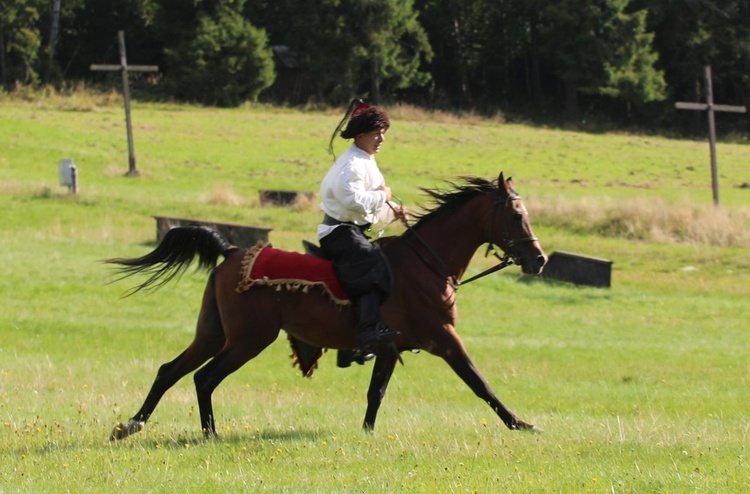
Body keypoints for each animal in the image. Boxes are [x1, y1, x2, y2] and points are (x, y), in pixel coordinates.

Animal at [108, 172, 548, 438]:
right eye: (516, 215)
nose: (539, 259)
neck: (425, 263)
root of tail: (231, 250)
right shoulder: (444, 339)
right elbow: (480, 382)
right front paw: (521, 423)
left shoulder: (389, 348)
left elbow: (376, 393)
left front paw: (367, 434)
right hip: (248, 339)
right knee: (205, 377)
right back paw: (209, 434)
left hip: (214, 334)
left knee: (171, 370)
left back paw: (132, 424)